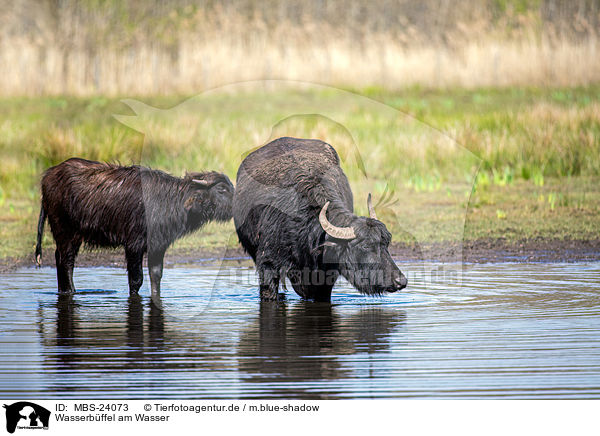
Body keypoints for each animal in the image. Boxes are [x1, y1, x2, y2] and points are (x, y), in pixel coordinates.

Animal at [34, 158, 233, 294]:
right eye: (222, 189)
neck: (169, 200)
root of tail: (48, 176)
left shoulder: (158, 245)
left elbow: (156, 275)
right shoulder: (133, 245)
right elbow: (136, 280)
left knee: (59, 258)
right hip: (66, 232)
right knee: (66, 262)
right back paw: (72, 292)